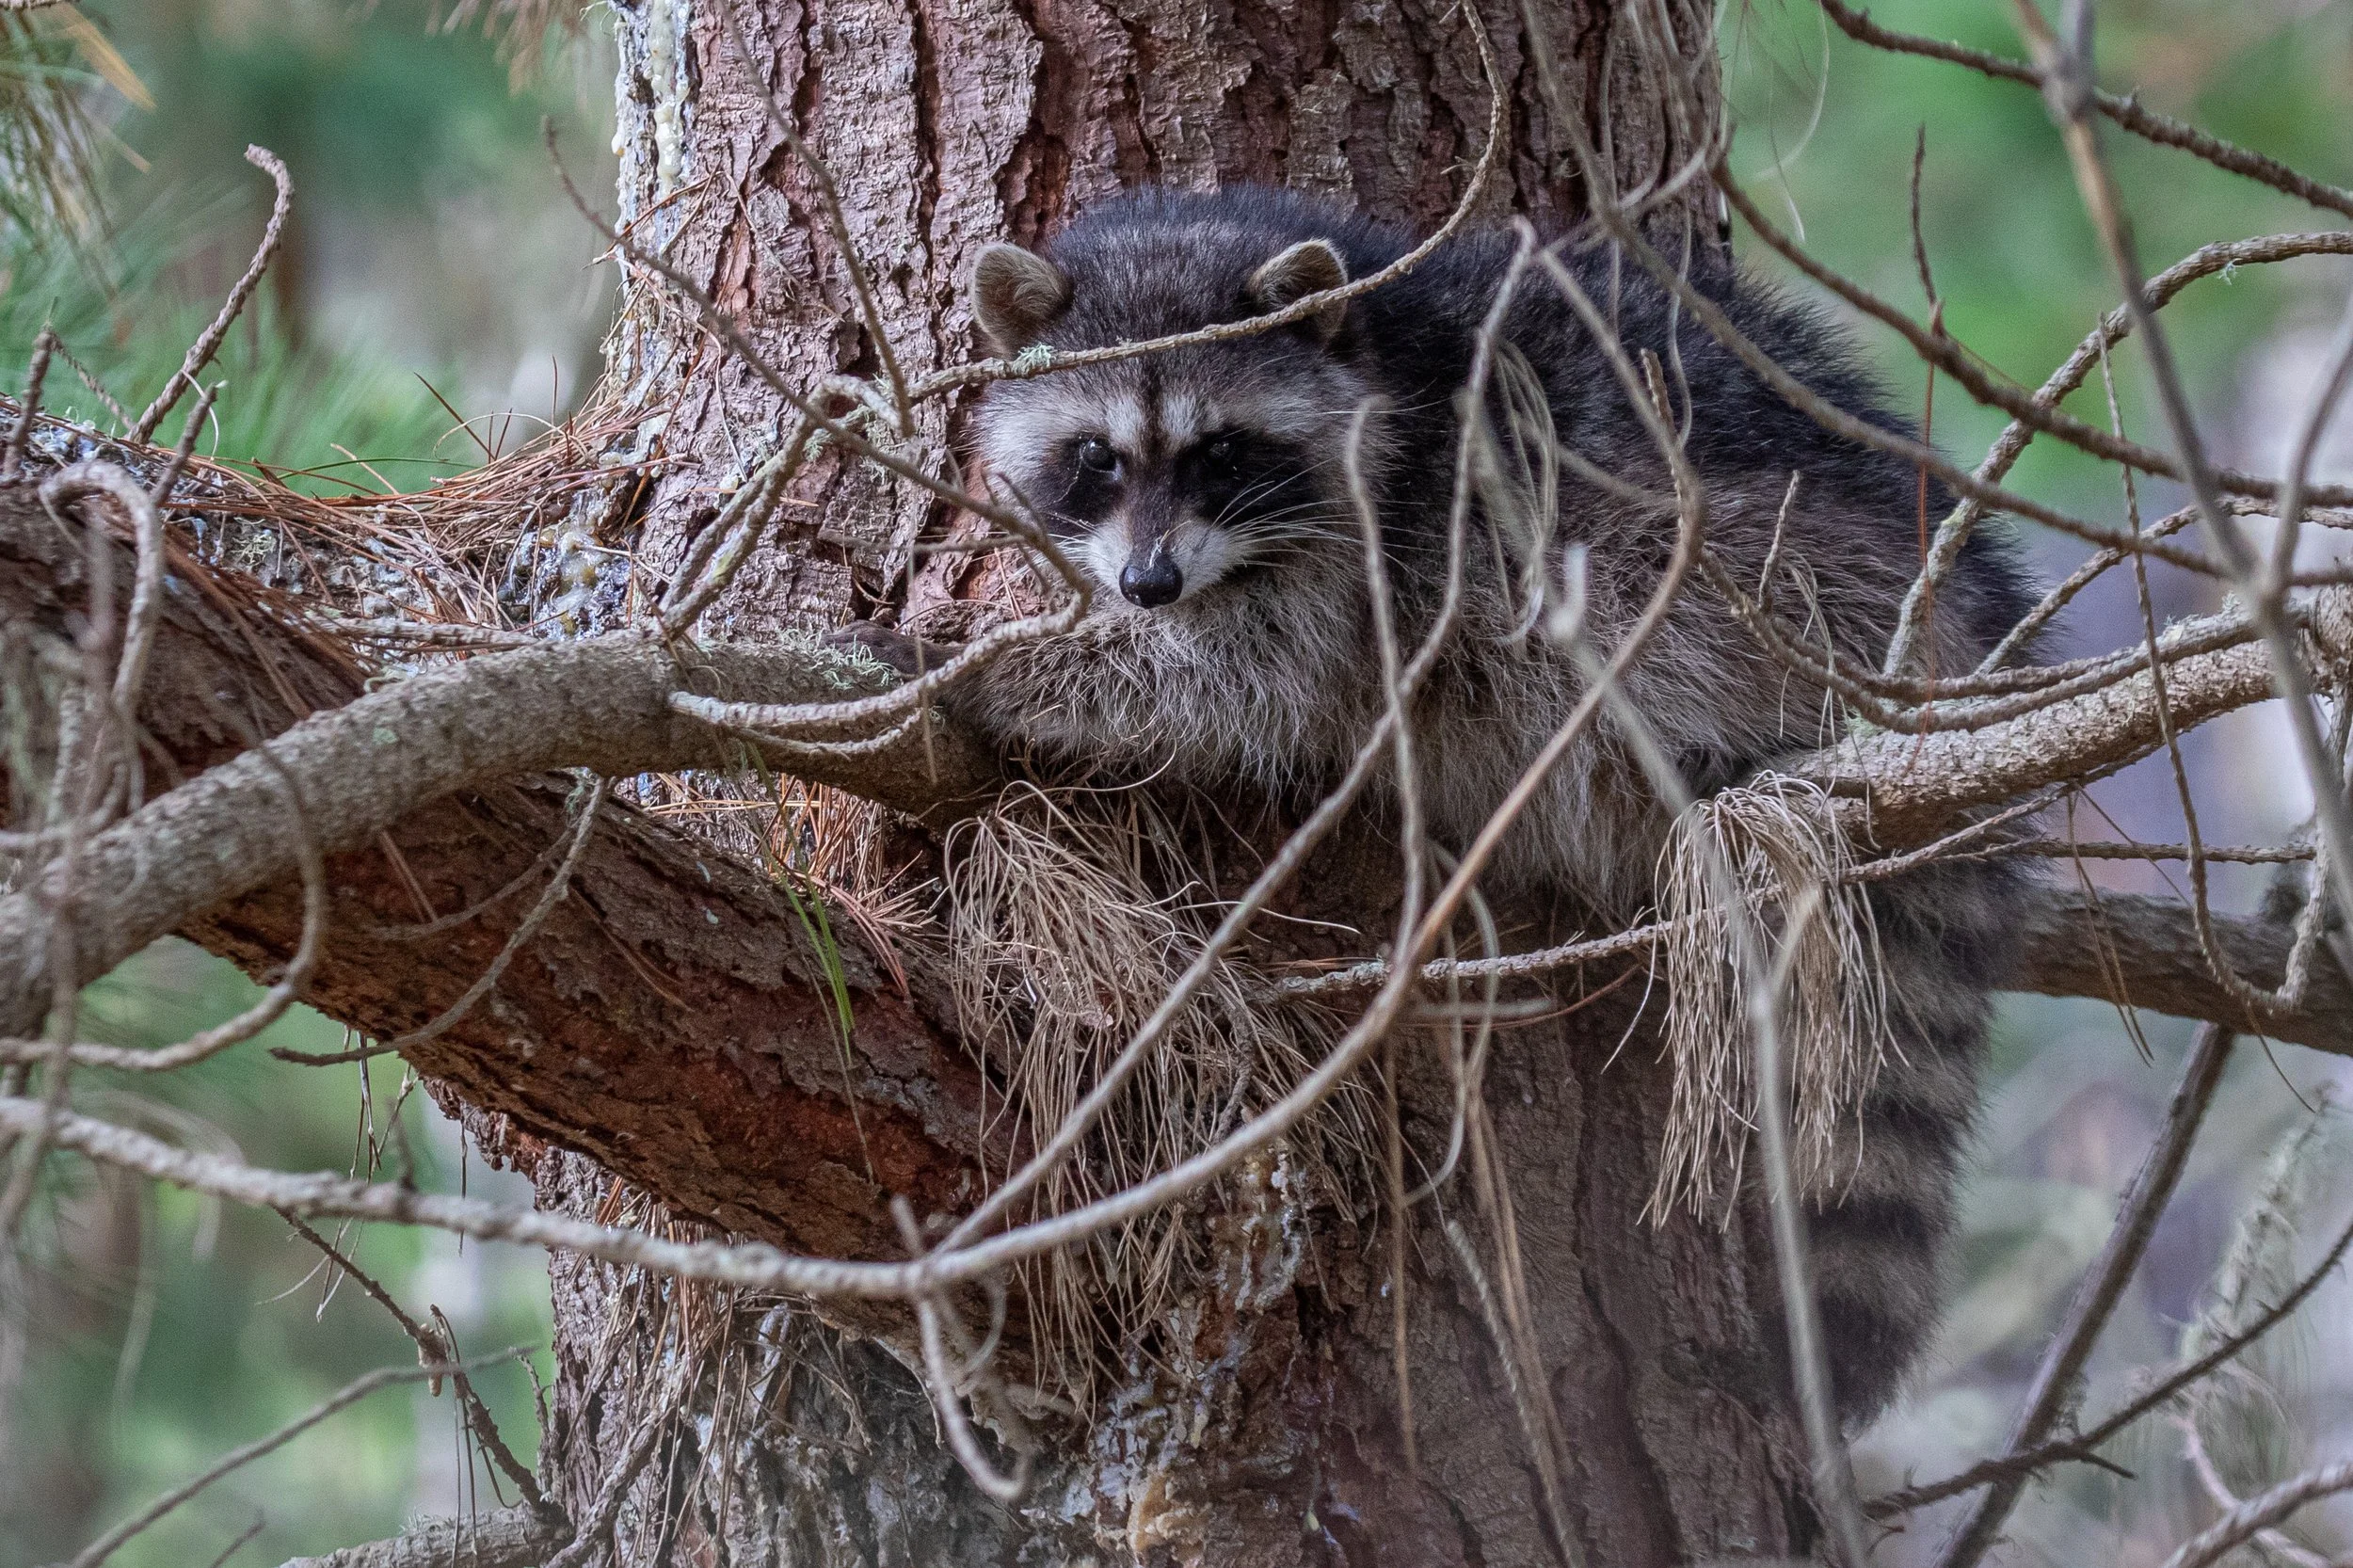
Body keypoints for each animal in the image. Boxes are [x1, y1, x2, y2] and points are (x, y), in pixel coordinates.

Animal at [894, 186, 2032, 1422]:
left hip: (1766, 571)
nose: (1148, 585)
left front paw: (998, 668)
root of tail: (1967, 609)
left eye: (1221, 452)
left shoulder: (1379, 544)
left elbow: (1235, 681)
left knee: (1615, 594)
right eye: (1095, 458)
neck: (1370, 344)